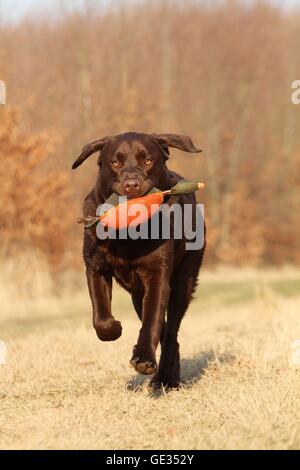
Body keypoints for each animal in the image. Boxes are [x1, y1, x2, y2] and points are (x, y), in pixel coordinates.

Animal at [71, 130, 205, 388]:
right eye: (115, 162)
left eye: (148, 161)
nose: (132, 185)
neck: (128, 234)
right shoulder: (95, 267)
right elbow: (101, 316)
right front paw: (114, 329)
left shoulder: (158, 276)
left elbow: (152, 321)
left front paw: (143, 359)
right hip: (136, 294)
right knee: (165, 331)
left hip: (183, 281)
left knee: (171, 333)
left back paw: (165, 378)